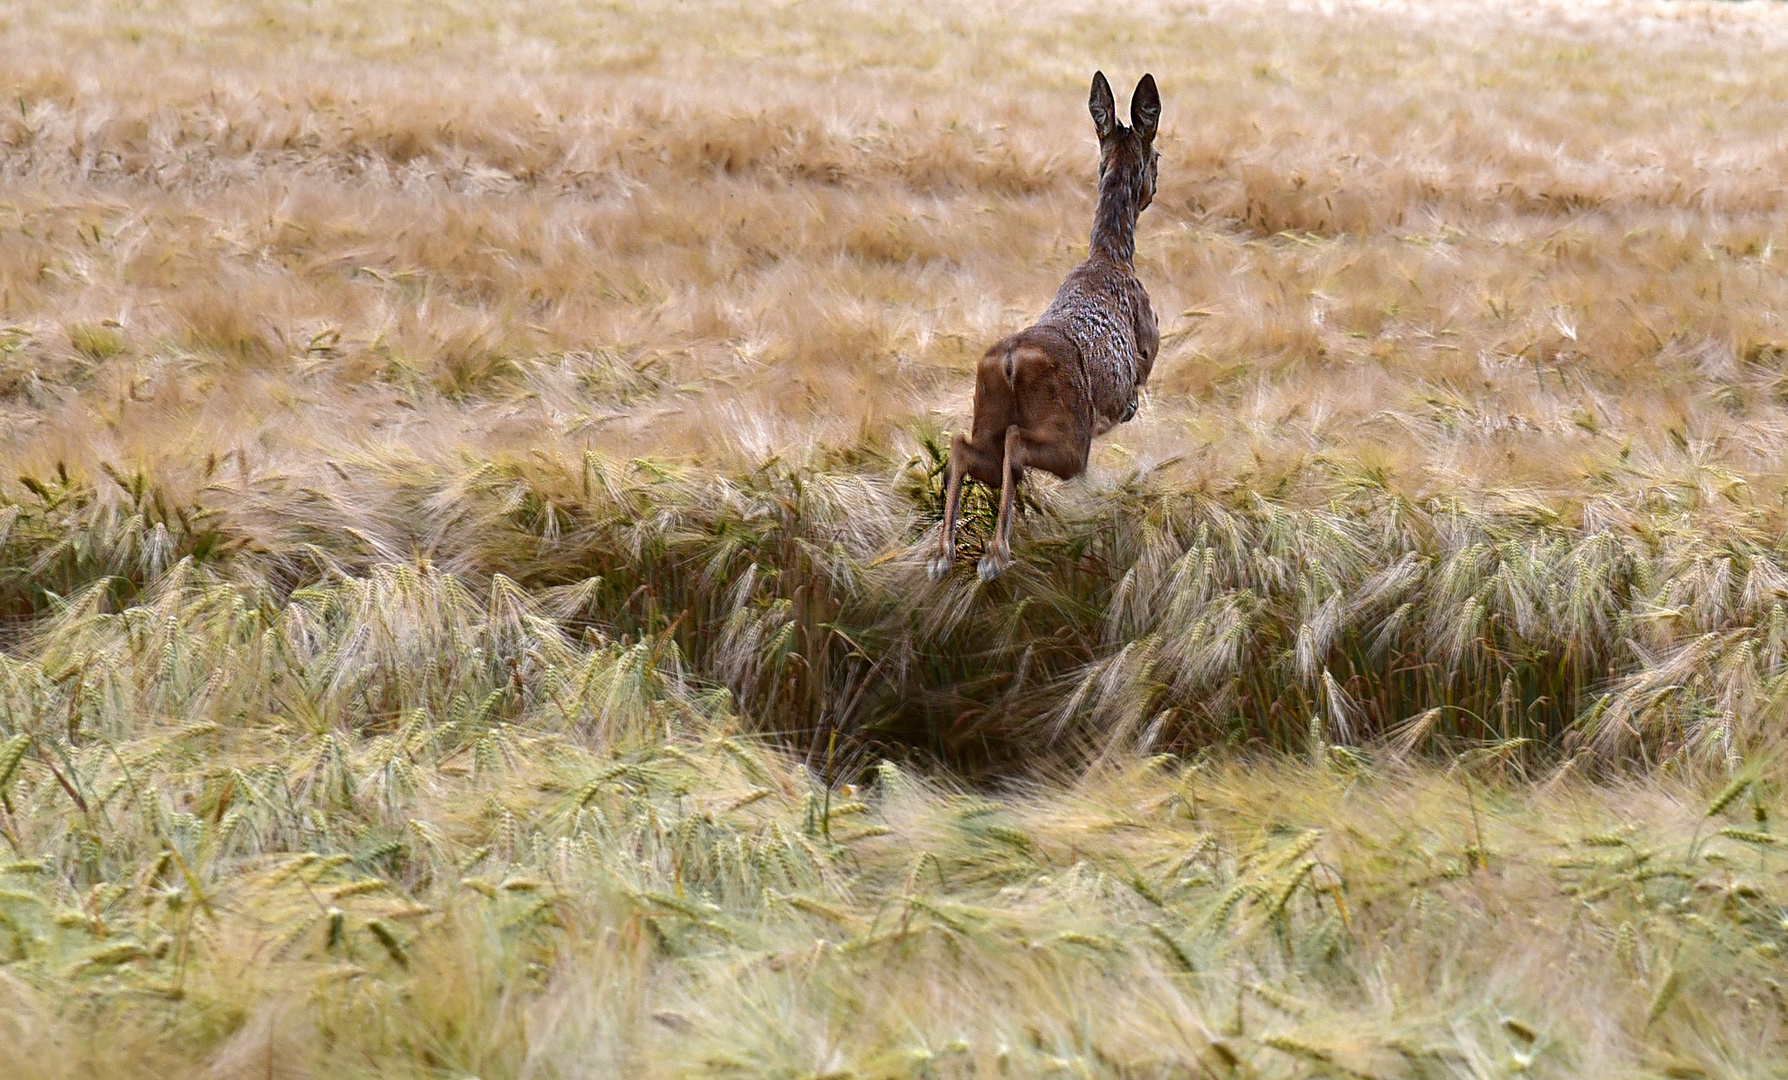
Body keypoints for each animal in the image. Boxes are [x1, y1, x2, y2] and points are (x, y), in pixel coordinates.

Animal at [929, 69, 1165, 582]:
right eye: (1158, 156)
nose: (1154, 188)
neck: (1110, 257)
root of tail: (1011, 362)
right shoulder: (1148, 344)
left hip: (988, 414)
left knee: (964, 447)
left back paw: (944, 552)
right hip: (1070, 435)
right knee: (1017, 448)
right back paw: (994, 555)